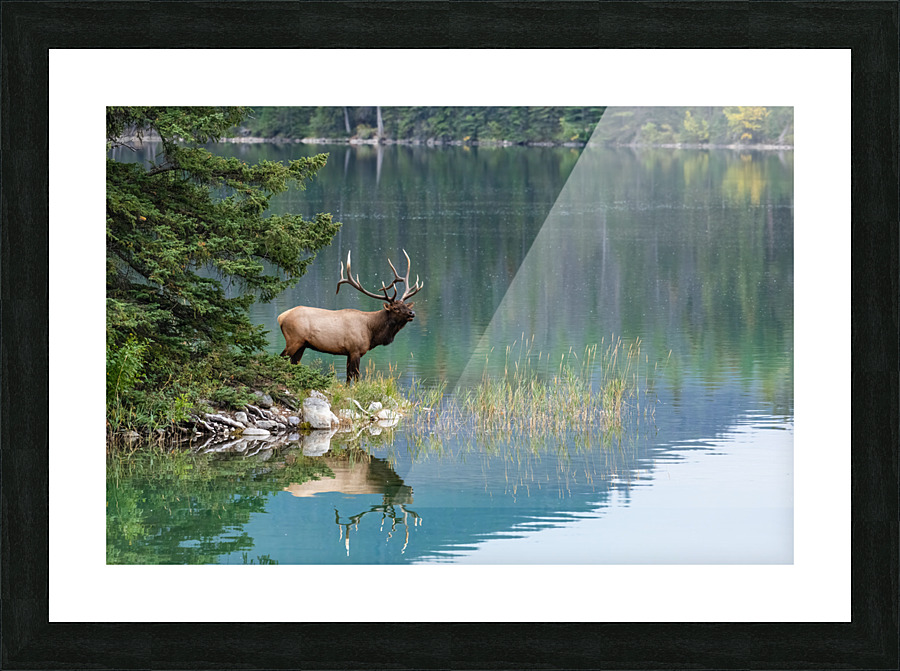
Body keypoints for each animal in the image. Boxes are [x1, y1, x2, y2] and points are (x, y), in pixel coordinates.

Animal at [277, 250, 423, 381]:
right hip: (293, 340)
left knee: (293, 363)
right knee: (281, 358)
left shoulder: (349, 353)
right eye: (396, 308)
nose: (412, 313)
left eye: (406, 306)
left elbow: (348, 376)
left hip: (302, 344)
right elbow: (356, 376)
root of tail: (281, 317)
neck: (372, 332)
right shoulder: (355, 350)